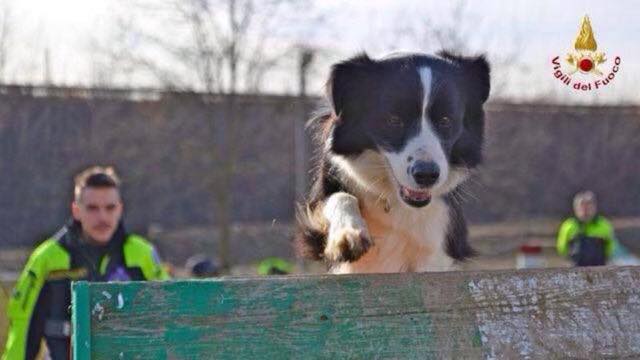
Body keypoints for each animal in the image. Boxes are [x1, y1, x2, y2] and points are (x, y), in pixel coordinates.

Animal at [296, 51, 490, 272]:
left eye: (445, 121)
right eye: (393, 120)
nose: (427, 175)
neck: (393, 198)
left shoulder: (439, 237)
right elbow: (338, 197)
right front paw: (348, 235)